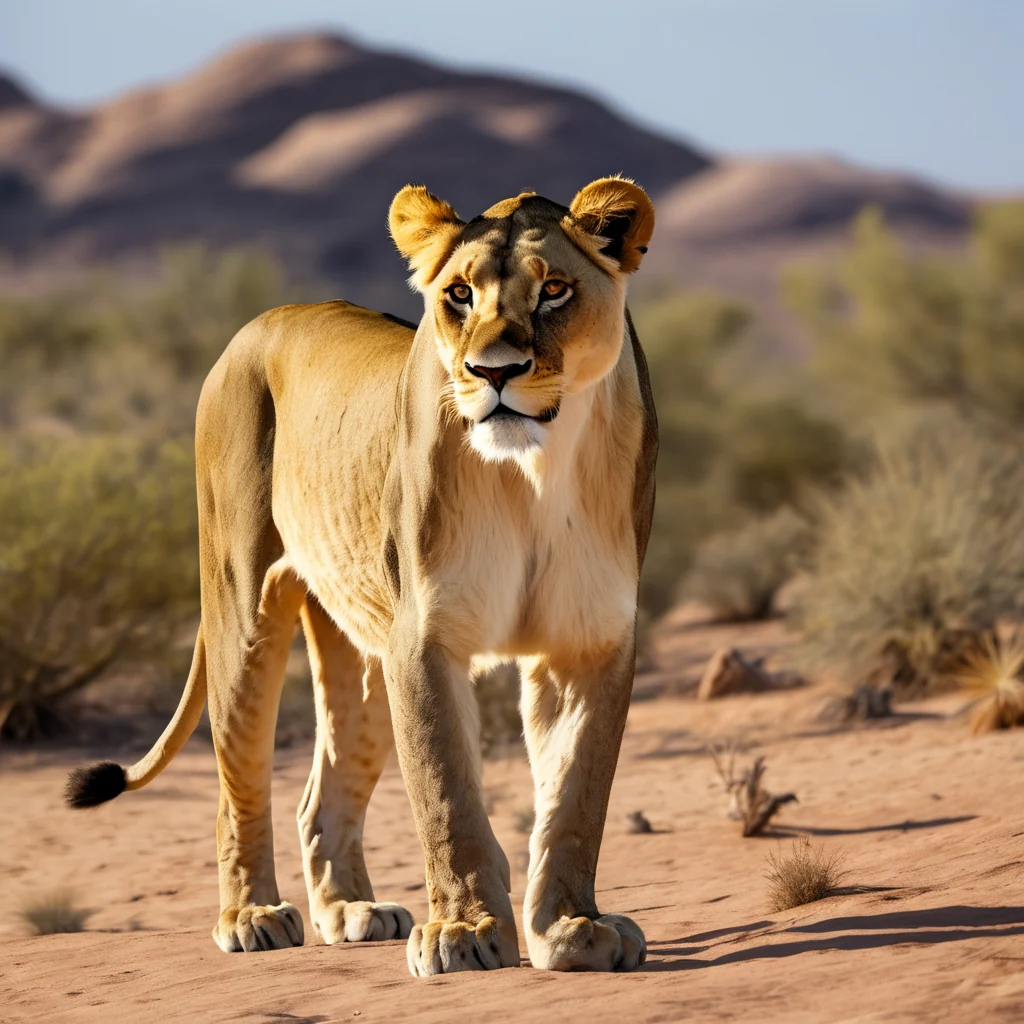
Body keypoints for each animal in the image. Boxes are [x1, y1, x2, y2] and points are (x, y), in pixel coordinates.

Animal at [66, 176, 658, 976]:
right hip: (242, 613)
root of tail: (261, 321)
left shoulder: (589, 641)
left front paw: (572, 927)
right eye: (460, 294)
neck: (533, 472)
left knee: (320, 797)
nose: (492, 373)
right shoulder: (425, 638)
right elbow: (447, 794)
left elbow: (576, 797)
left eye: (555, 291)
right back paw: (251, 915)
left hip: (364, 649)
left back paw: (351, 910)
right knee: (236, 783)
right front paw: (465, 931)